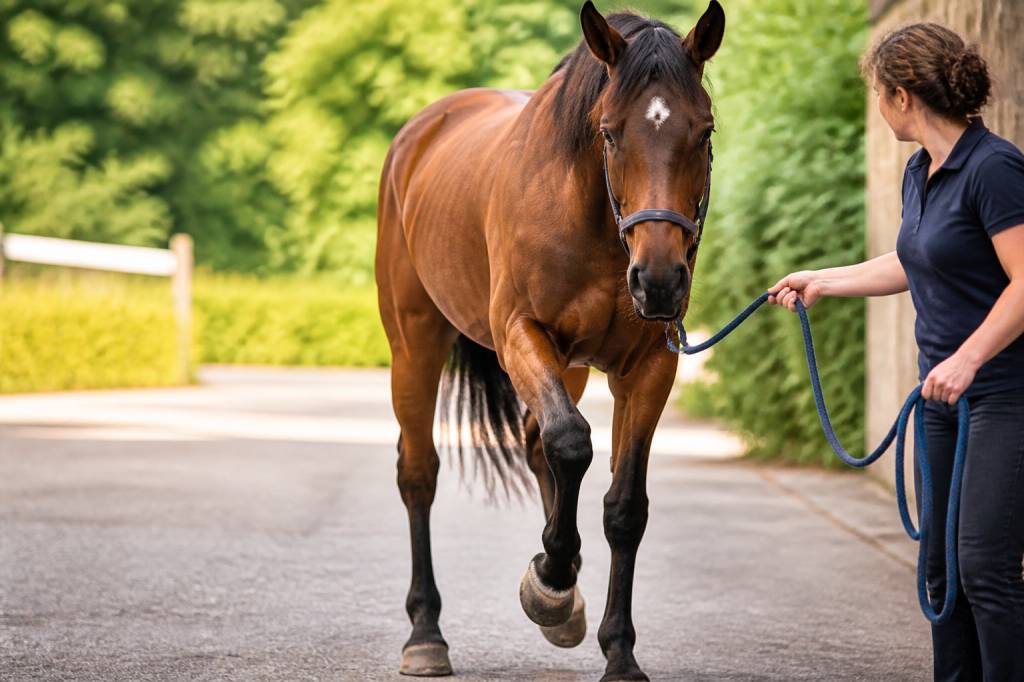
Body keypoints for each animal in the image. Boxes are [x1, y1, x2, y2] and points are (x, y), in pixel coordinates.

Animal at [375, 1, 725, 679]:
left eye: (705, 132)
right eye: (610, 133)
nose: (660, 280)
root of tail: (418, 136)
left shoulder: (648, 367)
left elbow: (624, 505)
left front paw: (616, 649)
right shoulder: (521, 336)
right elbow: (570, 443)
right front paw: (552, 577)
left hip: (572, 367)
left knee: (539, 448)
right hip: (415, 343)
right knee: (420, 472)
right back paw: (427, 633)